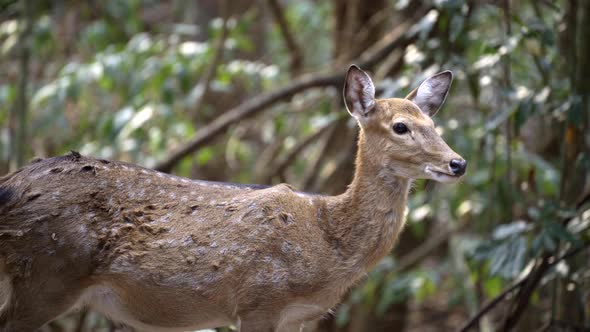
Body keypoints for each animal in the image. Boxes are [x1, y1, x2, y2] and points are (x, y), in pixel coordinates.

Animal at [0, 65, 468, 332]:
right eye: (401, 127)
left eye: (434, 124)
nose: (458, 162)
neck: (327, 238)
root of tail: (11, 184)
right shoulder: (260, 300)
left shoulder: (297, 317)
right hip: (47, 273)